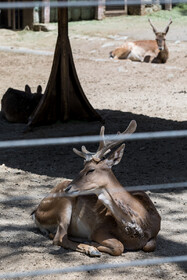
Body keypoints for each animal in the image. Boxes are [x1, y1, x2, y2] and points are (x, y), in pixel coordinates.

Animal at [32, 120, 161, 256]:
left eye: (90, 170)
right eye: (82, 168)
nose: (68, 188)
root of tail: (36, 213)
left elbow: (149, 246)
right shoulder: (99, 229)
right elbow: (119, 246)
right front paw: (93, 244)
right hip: (64, 204)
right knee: (60, 238)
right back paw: (91, 249)